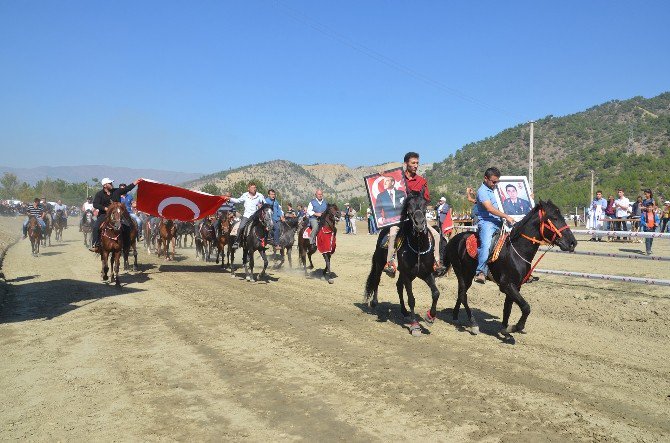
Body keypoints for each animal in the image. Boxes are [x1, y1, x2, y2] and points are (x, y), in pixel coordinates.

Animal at [364, 191, 444, 336]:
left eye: (425, 205)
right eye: (409, 206)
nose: (419, 223)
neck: (418, 248)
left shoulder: (426, 273)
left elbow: (436, 293)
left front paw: (430, 317)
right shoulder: (407, 274)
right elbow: (411, 299)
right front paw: (415, 326)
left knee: (398, 286)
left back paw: (404, 311)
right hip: (379, 263)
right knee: (377, 280)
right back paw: (374, 302)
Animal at [446, 199, 576, 334]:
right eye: (554, 218)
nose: (572, 242)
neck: (516, 251)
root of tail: (454, 239)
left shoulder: (516, 285)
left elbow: (508, 307)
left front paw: (505, 328)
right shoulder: (506, 285)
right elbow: (526, 307)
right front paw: (515, 327)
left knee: (461, 293)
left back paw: (455, 316)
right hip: (462, 273)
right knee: (463, 295)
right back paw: (473, 324)